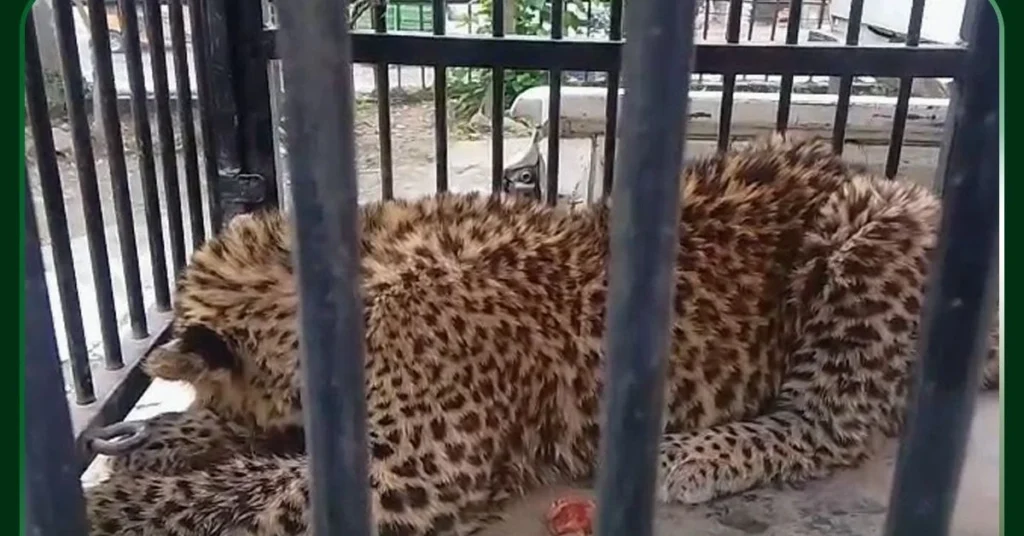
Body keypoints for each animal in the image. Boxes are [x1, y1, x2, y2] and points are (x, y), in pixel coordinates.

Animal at [83, 133, 1000, 535]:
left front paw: (113, 502)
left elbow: (261, 491)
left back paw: (692, 458)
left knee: (830, 424)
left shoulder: (421, 468)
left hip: (873, 224)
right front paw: (157, 438)